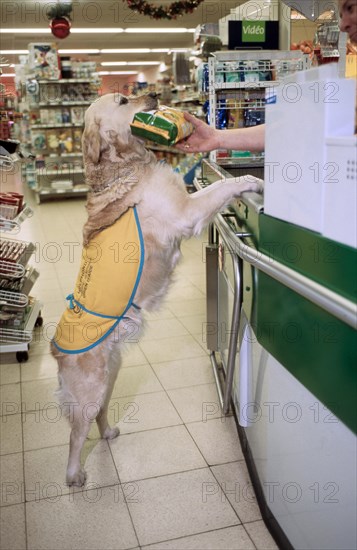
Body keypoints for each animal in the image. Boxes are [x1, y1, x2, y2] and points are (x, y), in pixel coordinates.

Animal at [49, 90, 262, 488]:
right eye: (122, 100)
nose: (155, 94)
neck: (126, 165)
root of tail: (55, 350)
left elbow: (215, 186)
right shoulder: (185, 211)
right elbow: (221, 186)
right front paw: (250, 183)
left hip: (110, 376)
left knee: (99, 416)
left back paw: (108, 433)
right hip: (89, 390)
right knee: (75, 433)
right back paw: (74, 474)